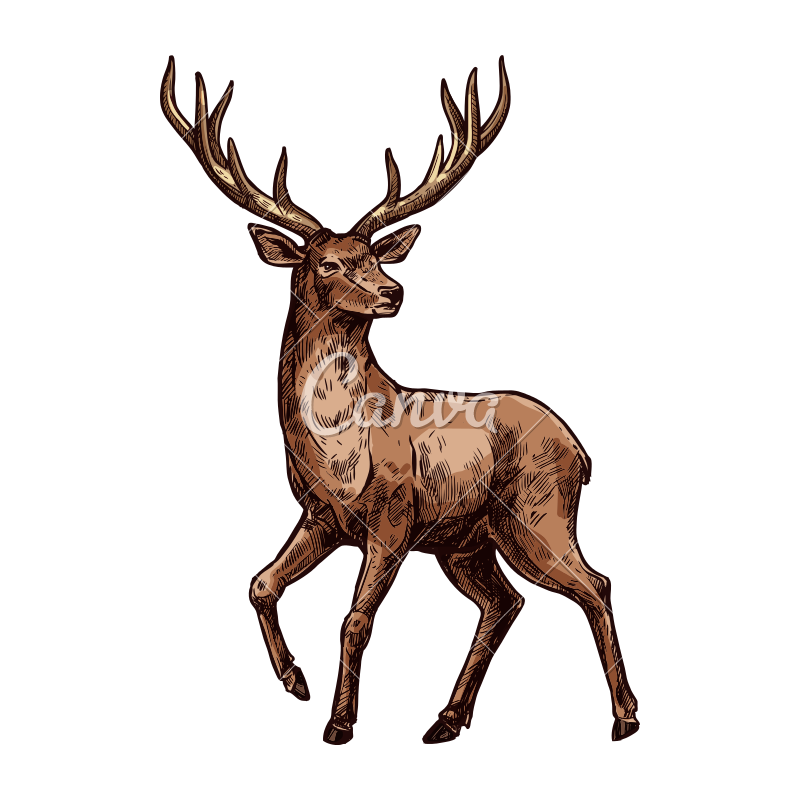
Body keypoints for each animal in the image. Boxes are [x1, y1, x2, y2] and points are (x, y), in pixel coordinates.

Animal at [160, 55, 639, 747]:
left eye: (371, 257)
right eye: (329, 263)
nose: (391, 291)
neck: (335, 451)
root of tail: (580, 449)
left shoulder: (393, 518)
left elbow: (356, 622)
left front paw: (338, 724)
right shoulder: (321, 518)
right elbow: (260, 586)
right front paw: (295, 685)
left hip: (537, 514)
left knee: (593, 585)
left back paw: (625, 717)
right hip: (465, 540)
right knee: (506, 602)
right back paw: (449, 720)